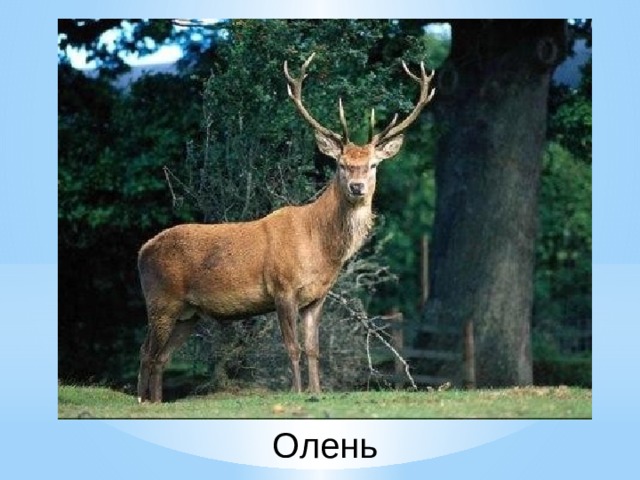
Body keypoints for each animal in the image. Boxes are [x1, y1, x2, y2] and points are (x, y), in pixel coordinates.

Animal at [136, 52, 435, 403]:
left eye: (373, 164)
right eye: (341, 164)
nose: (357, 187)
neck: (320, 249)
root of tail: (142, 251)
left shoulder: (316, 297)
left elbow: (313, 349)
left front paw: (317, 392)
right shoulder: (282, 288)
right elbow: (292, 348)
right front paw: (296, 391)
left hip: (189, 312)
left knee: (160, 357)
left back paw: (155, 401)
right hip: (161, 299)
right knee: (147, 352)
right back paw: (142, 400)